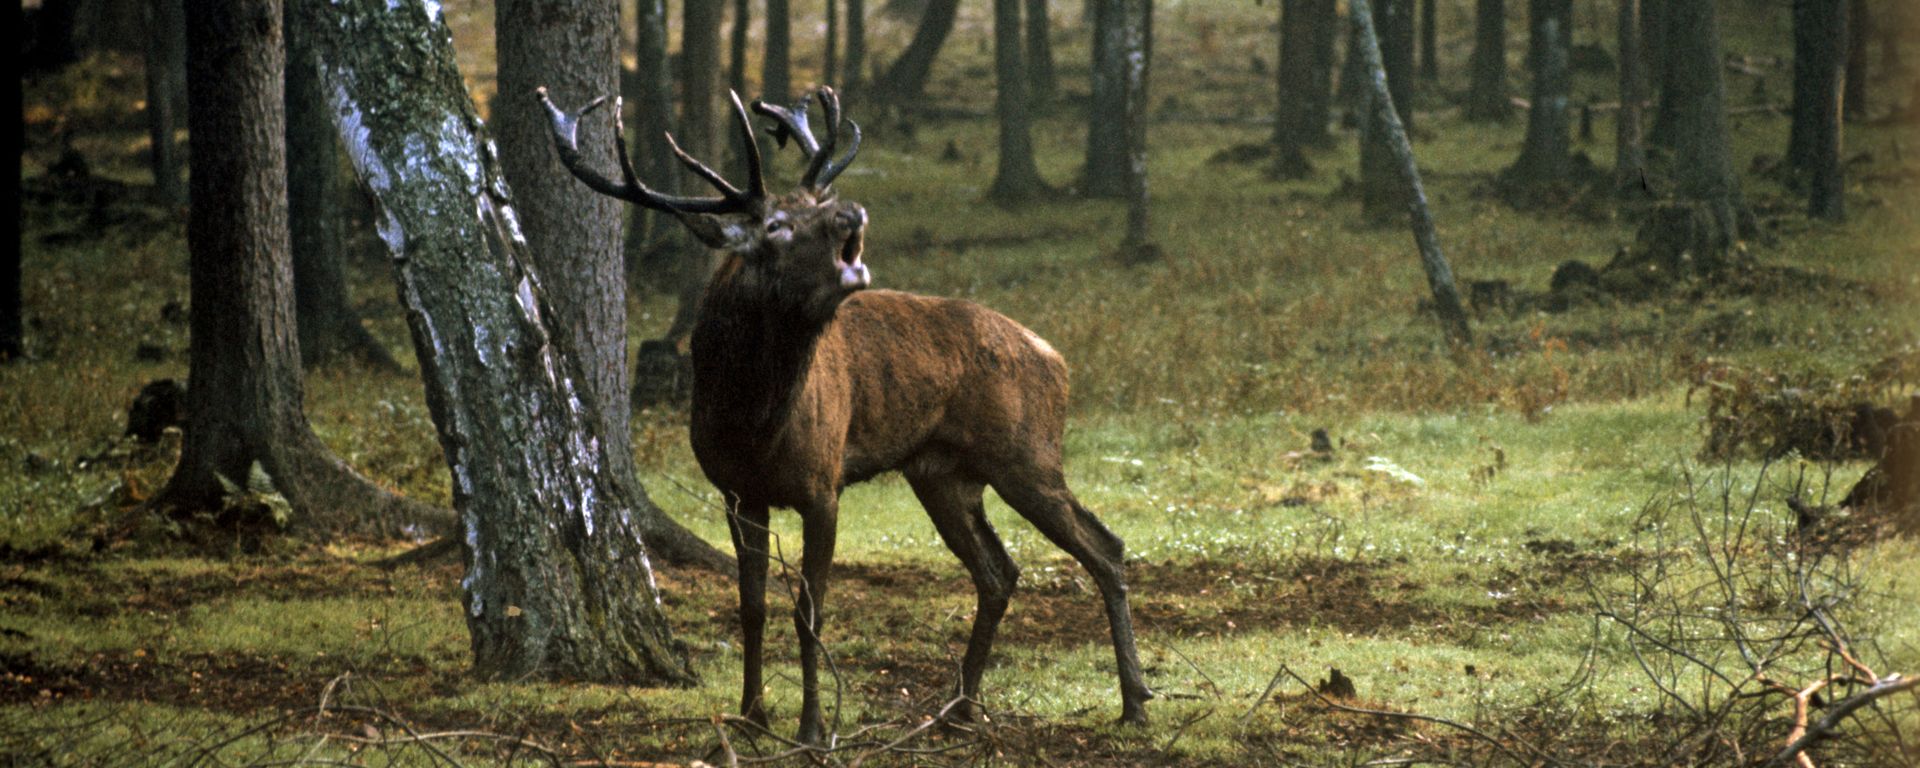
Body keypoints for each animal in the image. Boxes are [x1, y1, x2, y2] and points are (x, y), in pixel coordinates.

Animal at [537, 84, 1151, 743]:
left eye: (819, 202)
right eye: (775, 225)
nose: (848, 212)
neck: (753, 424)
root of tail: (1056, 358)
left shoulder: (822, 483)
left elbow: (810, 609)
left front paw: (811, 728)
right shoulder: (735, 491)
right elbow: (751, 605)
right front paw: (751, 717)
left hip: (1026, 454)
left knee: (1104, 546)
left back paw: (1135, 702)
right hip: (942, 474)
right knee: (999, 571)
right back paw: (959, 708)